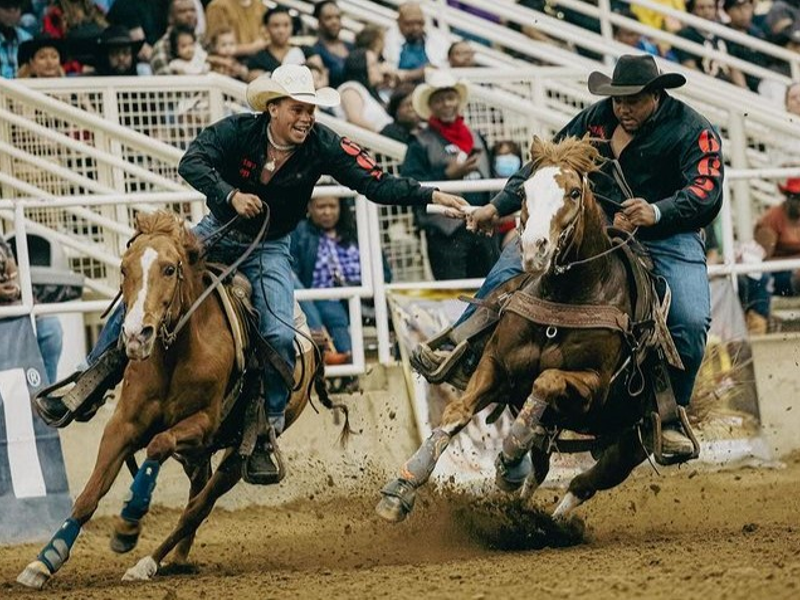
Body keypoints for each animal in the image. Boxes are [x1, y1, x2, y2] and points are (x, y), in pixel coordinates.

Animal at [16, 212, 340, 592]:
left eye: (170, 269)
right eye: (123, 269)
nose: (136, 335)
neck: (174, 354)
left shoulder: (202, 424)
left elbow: (158, 445)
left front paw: (129, 520)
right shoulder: (122, 425)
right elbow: (88, 497)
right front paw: (44, 561)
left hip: (234, 456)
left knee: (196, 509)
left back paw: (148, 562)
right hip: (197, 456)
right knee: (195, 496)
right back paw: (177, 559)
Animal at [376, 136, 668, 524]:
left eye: (574, 192)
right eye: (524, 190)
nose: (533, 248)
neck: (563, 297)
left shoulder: (595, 386)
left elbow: (546, 381)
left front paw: (512, 448)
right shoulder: (495, 364)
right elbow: (457, 413)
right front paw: (401, 488)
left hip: (629, 444)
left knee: (584, 482)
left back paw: (548, 518)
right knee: (541, 470)